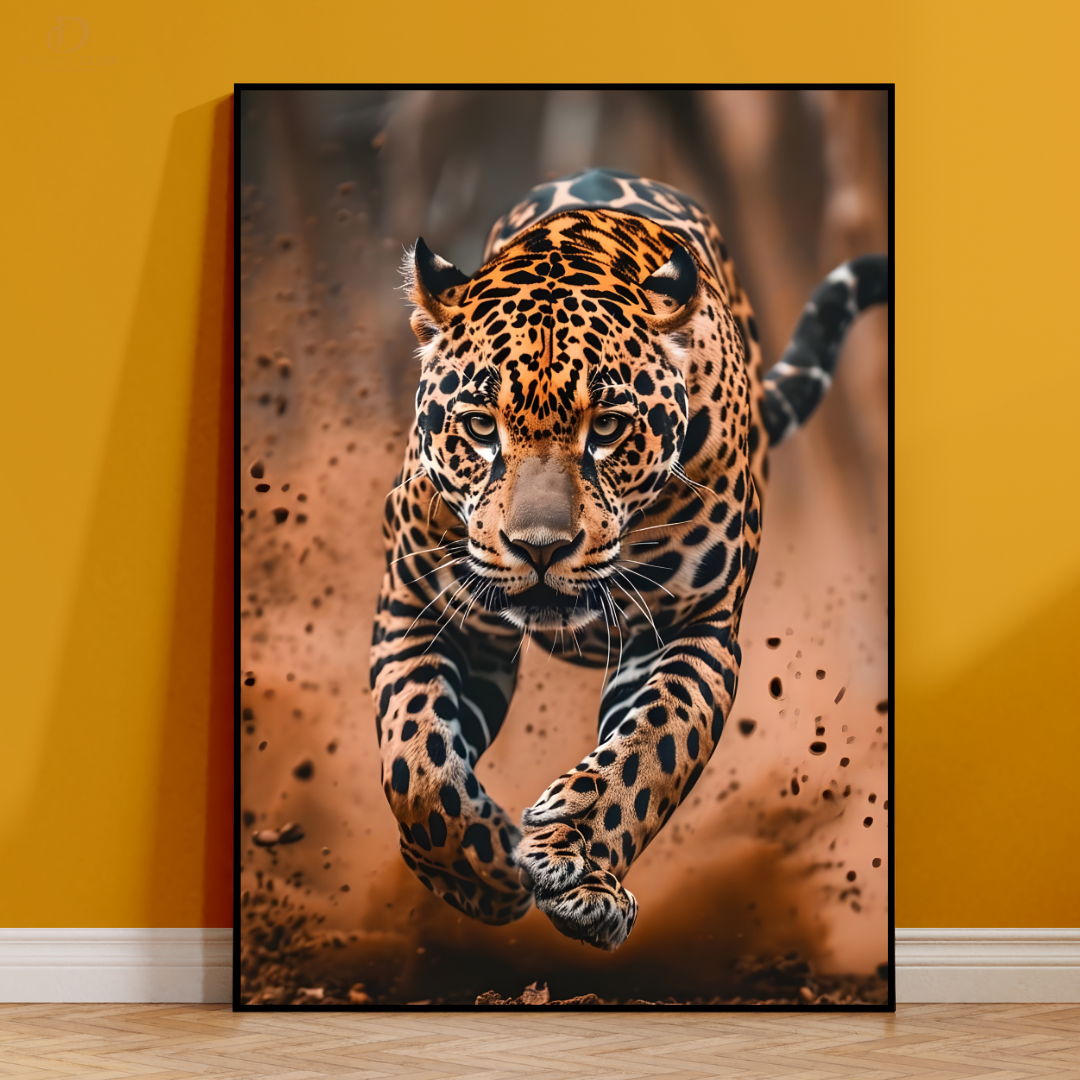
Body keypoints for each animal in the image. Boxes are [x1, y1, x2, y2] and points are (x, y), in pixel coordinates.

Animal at [369, 167, 888, 950]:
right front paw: (481, 870)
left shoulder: (695, 632)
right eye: (481, 427)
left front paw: (577, 865)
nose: (541, 548)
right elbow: (415, 759)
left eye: (608, 428)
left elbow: (650, 747)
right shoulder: (420, 609)